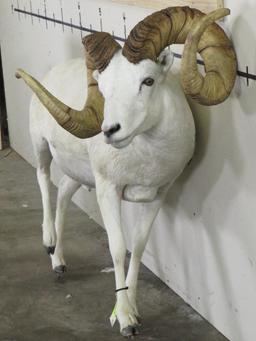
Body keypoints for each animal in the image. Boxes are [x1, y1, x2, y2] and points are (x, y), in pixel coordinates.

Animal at [15, 6, 236, 336]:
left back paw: (59, 262)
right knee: (42, 179)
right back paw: (49, 243)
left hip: (79, 175)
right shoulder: (109, 191)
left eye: (148, 81)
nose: (110, 130)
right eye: (104, 89)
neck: (147, 158)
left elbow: (139, 247)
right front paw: (125, 320)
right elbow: (118, 249)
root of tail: (51, 73)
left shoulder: (158, 195)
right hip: (40, 146)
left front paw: (131, 310)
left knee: (64, 192)